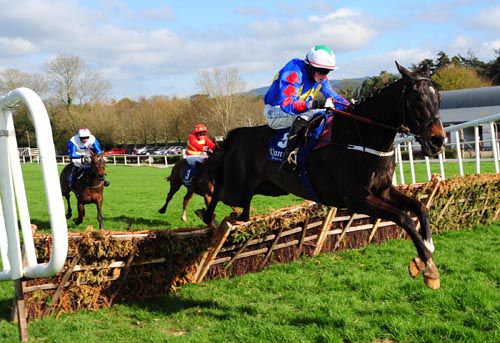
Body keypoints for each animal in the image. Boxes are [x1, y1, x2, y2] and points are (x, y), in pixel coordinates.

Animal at [203, 62, 446, 290]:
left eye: (438, 96)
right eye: (416, 98)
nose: (438, 140)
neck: (361, 136)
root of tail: (237, 134)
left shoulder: (383, 190)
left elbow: (419, 207)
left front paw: (426, 249)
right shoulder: (357, 198)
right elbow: (404, 218)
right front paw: (428, 266)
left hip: (267, 188)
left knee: (238, 201)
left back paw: (235, 217)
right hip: (237, 188)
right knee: (217, 191)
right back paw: (208, 216)